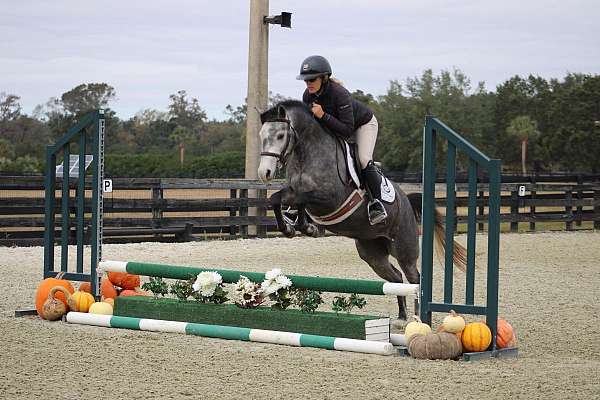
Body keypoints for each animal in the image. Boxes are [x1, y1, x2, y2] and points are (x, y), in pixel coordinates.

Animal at [255, 101, 466, 320]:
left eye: (280, 135)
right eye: (261, 135)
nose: (264, 173)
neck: (308, 153)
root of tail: (406, 201)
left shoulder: (327, 198)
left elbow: (299, 198)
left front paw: (301, 227)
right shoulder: (297, 192)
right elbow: (278, 198)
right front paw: (295, 227)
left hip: (404, 248)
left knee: (414, 278)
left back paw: (418, 319)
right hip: (372, 253)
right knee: (396, 277)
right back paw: (401, 316)